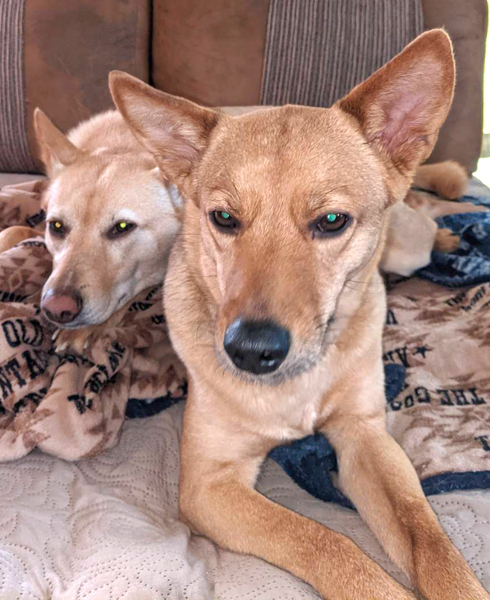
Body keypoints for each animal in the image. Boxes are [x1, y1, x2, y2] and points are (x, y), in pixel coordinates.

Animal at [110, 29, 489, 599]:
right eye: (223, 218)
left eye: (331, 220)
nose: (249, 351)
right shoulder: (208, 485)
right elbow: (324, 541)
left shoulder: (364, 437)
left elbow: (429, 540)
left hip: (405, 248)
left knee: (428, 213)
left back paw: (448, 234)